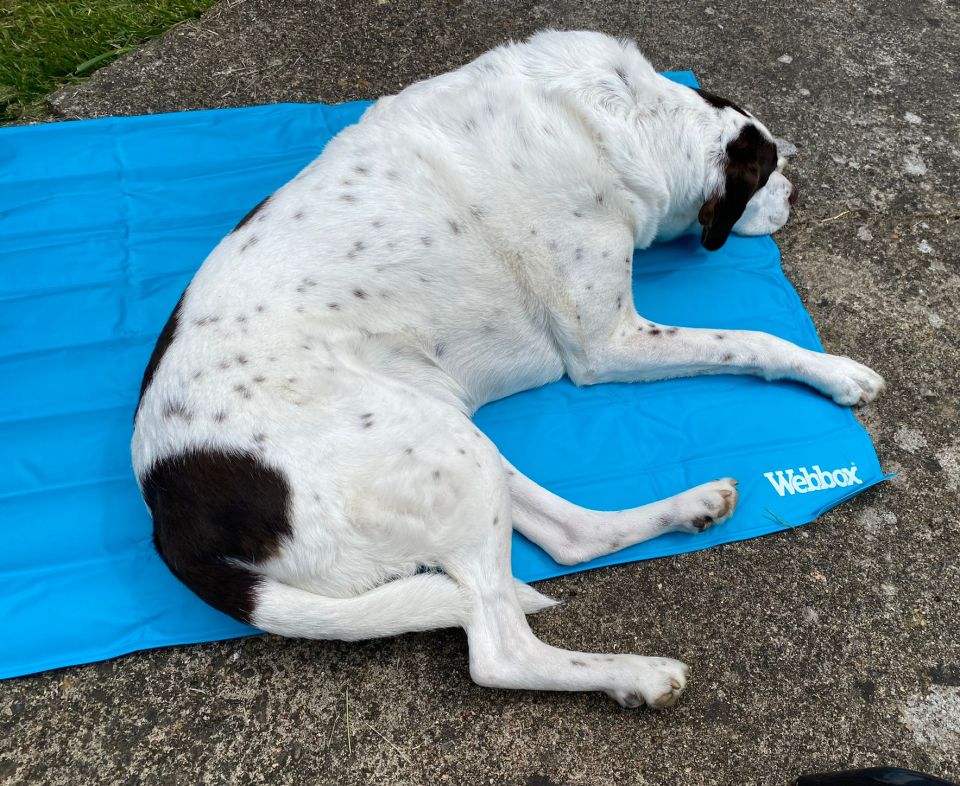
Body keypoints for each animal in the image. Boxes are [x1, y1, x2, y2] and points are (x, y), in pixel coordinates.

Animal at [129, 30, 884, 708]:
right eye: (768, 170)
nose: (799, 192)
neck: (625, 116)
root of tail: (169, 514)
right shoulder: (607, 344)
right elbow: (751, 336)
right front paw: (835, 371)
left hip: (441, 434)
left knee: (570, 537)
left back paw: (690, 507)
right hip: (442, 452)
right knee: (499, 649)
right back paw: (635, 674)